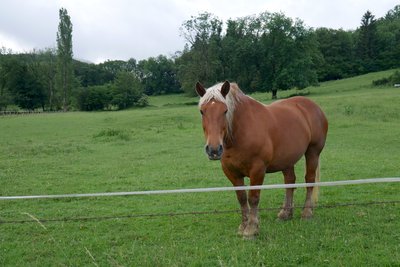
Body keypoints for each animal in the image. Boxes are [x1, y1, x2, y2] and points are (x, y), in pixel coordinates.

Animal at [195, 81, 328, 239]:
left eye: (225, 111)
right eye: (202, 111)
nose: (214, 150)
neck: (241, 132)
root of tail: (313, 106)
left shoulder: (257, 169)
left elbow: (253, 197)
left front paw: (252, 229)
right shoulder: (231, 172)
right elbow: (241, 198)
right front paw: (243, 226)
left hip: (313, 152)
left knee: (309, 179)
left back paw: (307, 212)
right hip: (287, 160)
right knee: (289, 182)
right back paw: (285, 213)